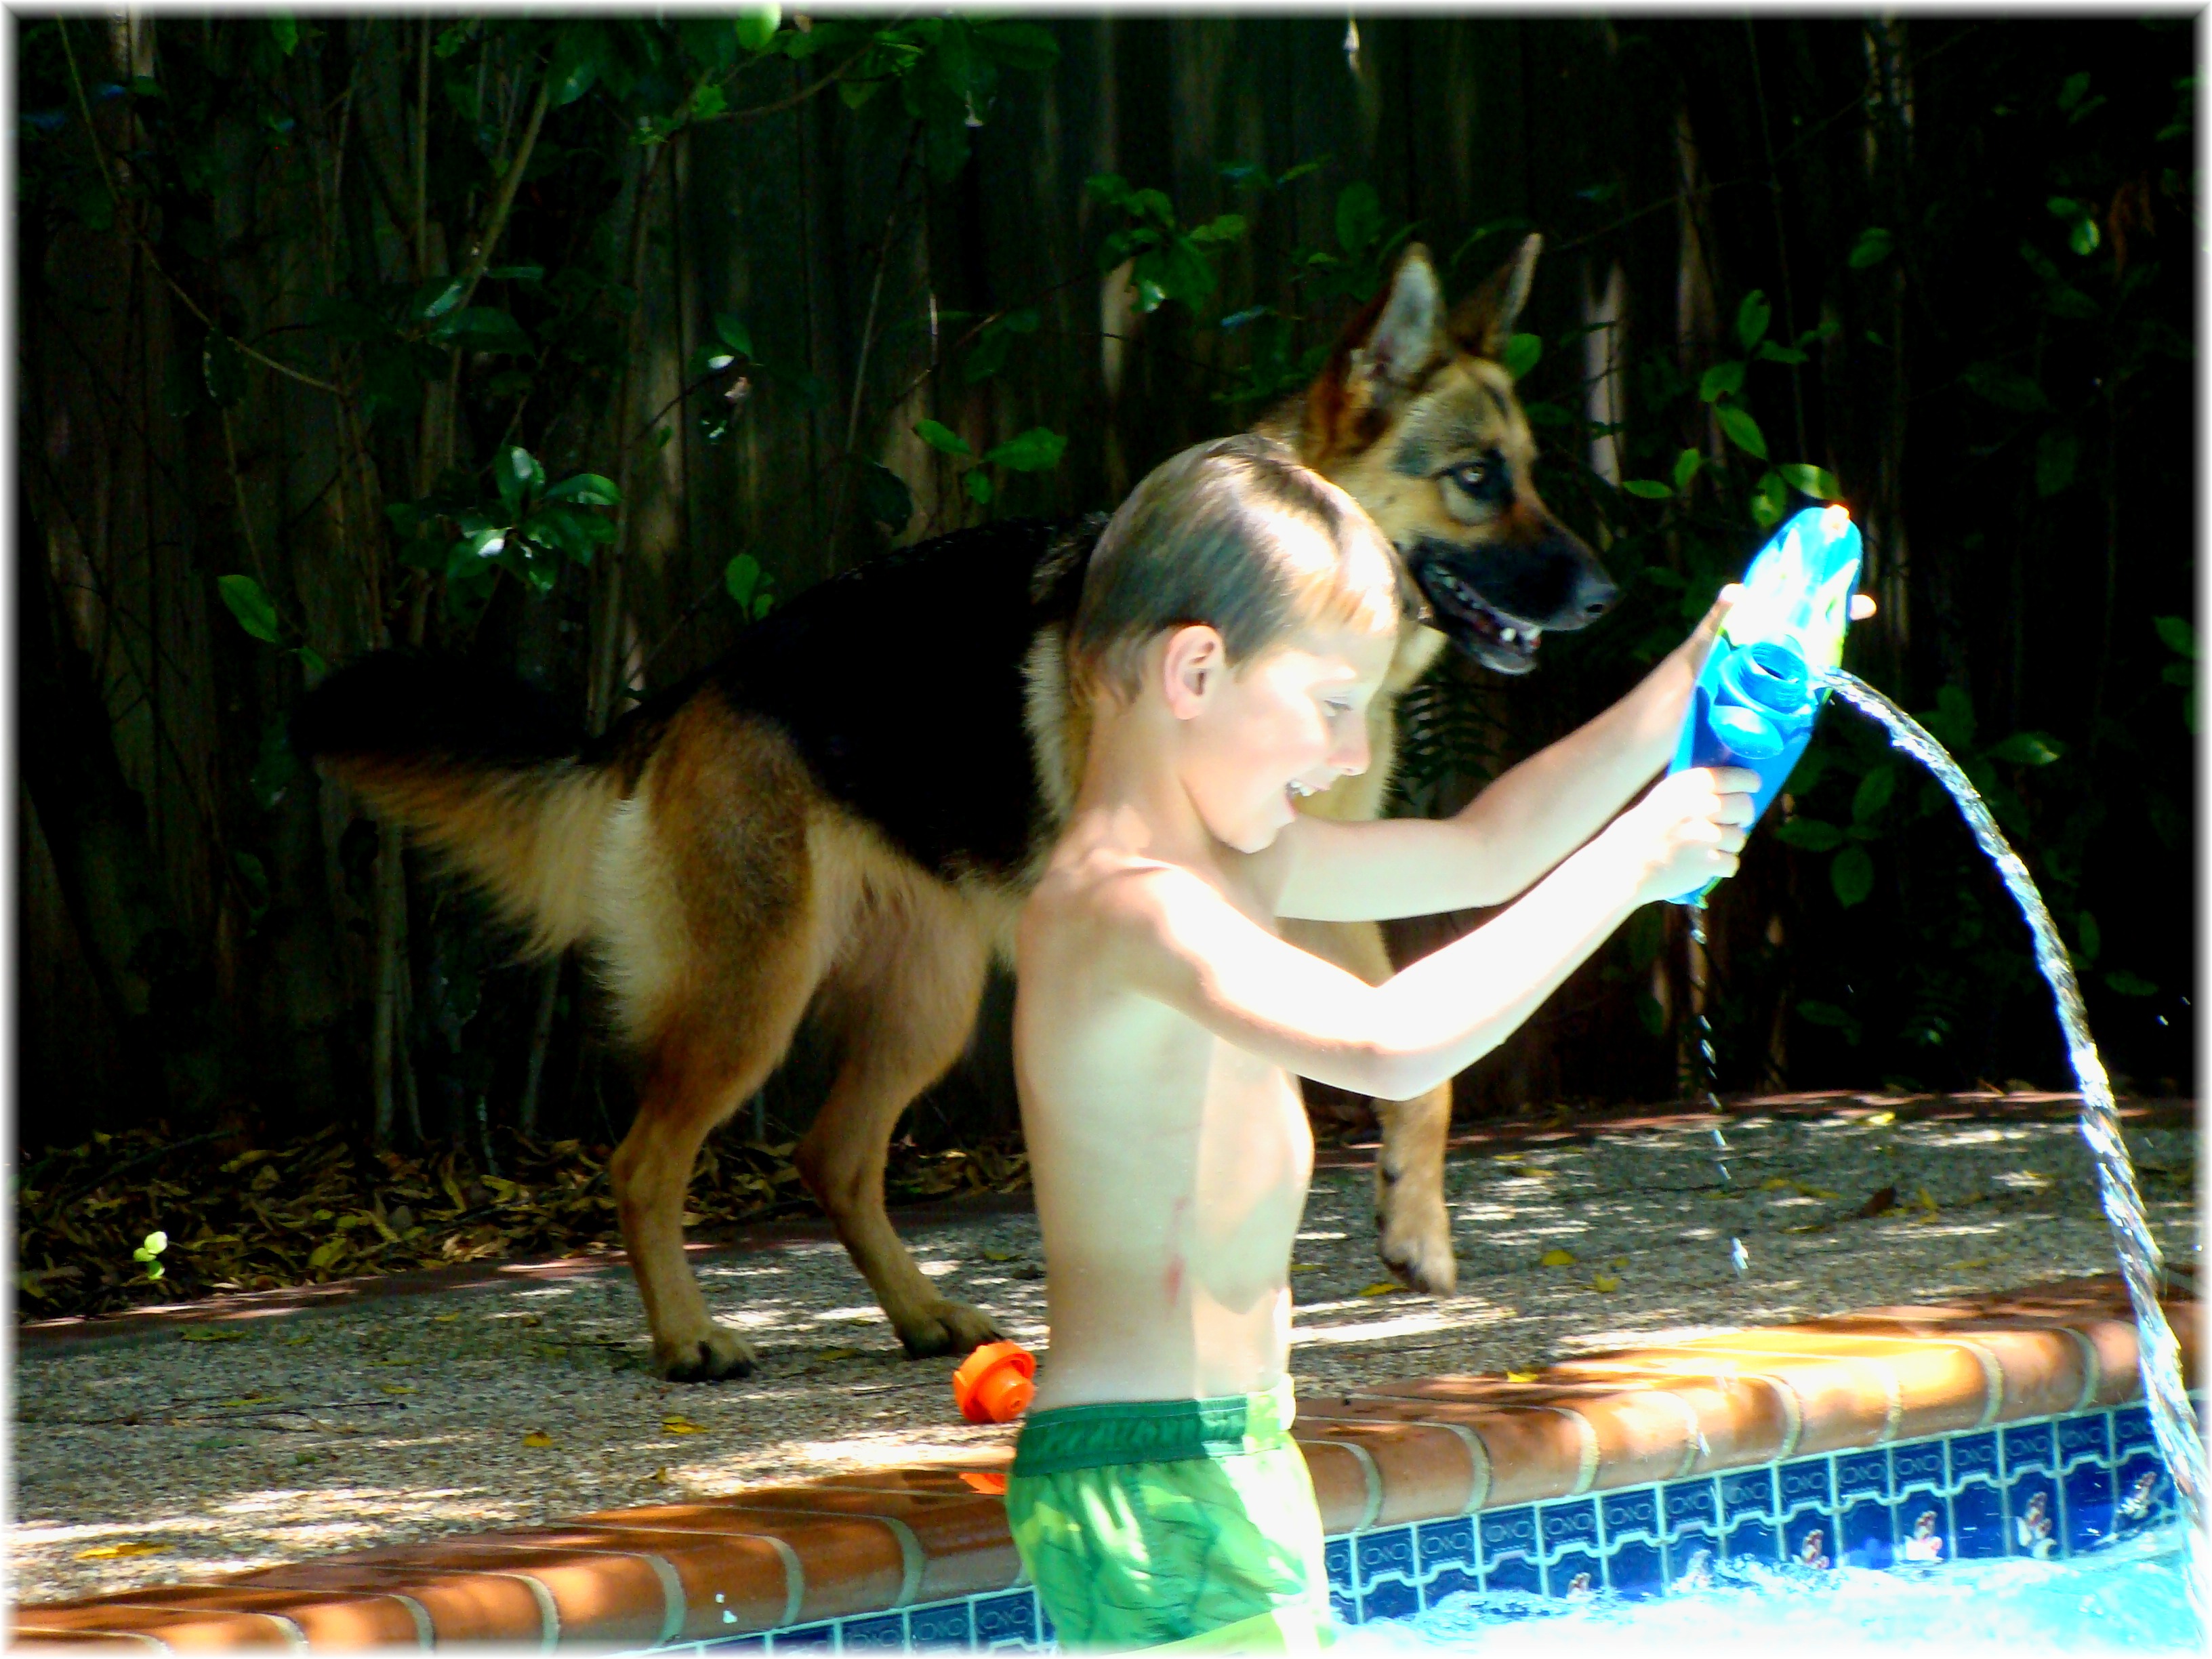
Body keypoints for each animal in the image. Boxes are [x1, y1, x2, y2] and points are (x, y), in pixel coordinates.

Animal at [295, 237, 1615, 1381]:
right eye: (1478, 481)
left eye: (1532, 475)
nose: (1604, 594)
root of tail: (690, 691)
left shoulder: (1310, 906)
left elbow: (1424, 1069)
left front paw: (1415, 1226)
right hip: (749, 997)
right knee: (645, 1160)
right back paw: (689, 1338)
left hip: (919, 1003)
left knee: (833, 1155)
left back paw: (925, 1315)